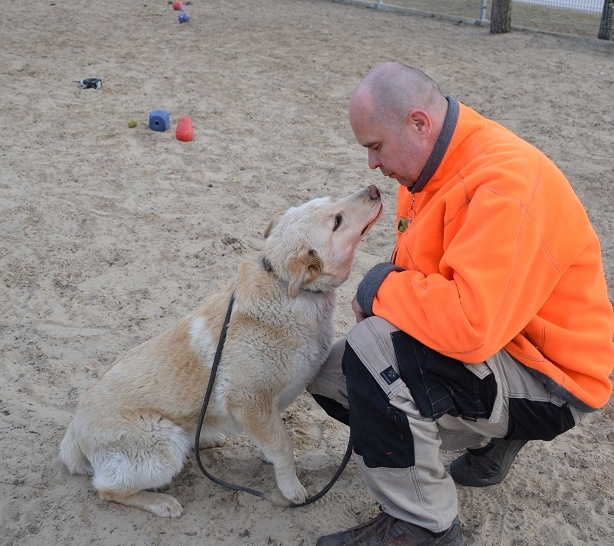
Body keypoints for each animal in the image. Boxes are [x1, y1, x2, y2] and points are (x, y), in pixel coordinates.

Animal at [59, 185, 383, 517]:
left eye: (331, 201)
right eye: (336, 222)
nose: (374, 189)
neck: (286, 286)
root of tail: (75, 431)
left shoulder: (262, 410)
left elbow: (273, 438)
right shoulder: (249, 400)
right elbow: (282, 444)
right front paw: (291, 487)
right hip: (161, 440)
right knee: (108, 490)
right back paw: (160, 502)